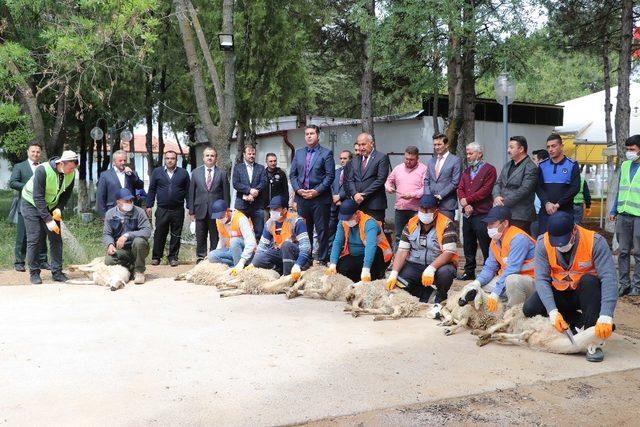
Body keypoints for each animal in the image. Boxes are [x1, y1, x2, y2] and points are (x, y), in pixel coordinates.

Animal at [472, 306, 604, 356]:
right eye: (602, 342)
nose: (611, 326)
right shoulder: (533, 329)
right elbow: (522, 334)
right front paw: (492, 336)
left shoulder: (527, 340)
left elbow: (518, 337)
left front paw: (497, 337)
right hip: (514, 316)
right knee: (496, 325)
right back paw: (479, 334)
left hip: (512, 323)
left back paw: (483, 339)